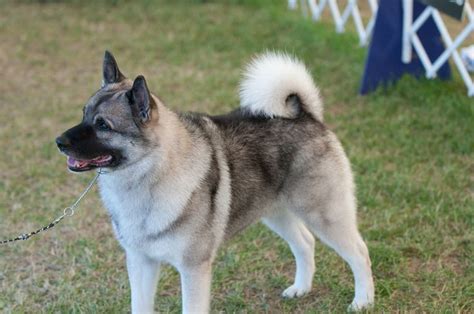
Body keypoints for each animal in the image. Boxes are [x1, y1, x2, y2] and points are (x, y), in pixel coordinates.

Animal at [55, 51, 374, 312]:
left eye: (103, 125)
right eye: (84, 114)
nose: (58, 142)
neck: (150, 175)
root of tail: (306, 116)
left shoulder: (193, 268)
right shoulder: (140, 262)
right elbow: (140, 306)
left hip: (324, 214)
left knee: (360, 252)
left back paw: (363, 301)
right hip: (275, 213)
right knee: (306, 243)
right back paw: (301, 288)